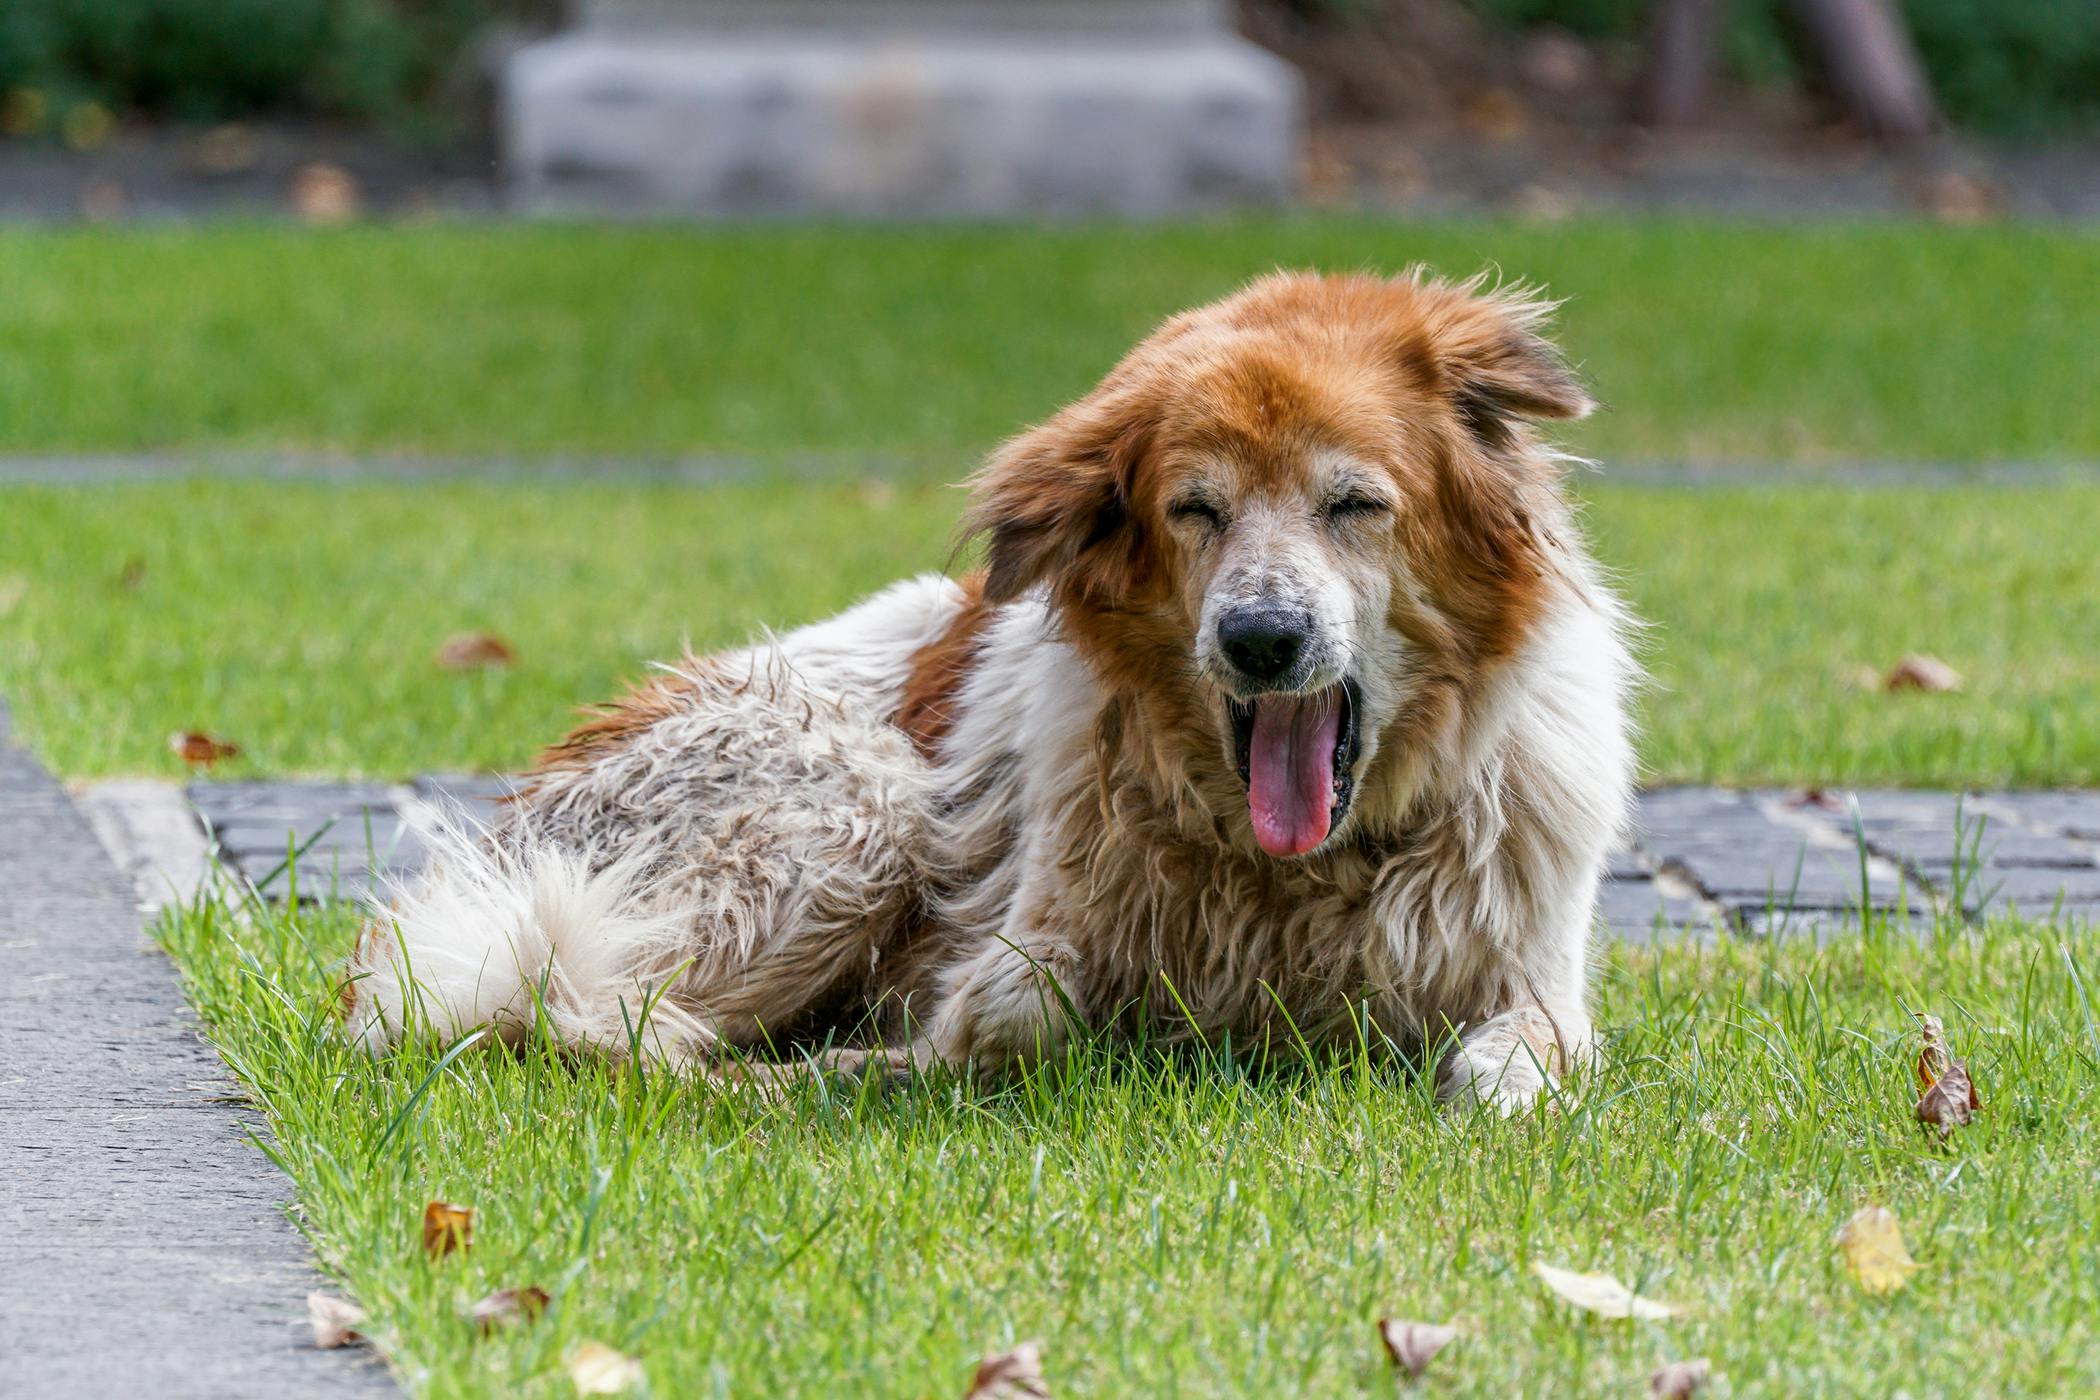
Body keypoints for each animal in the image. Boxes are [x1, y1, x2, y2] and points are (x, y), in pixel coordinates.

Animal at [352, 268, 1637, 1108]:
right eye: (1195, 508)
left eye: (1355, 503)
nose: (1262, 639)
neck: (1297, 883)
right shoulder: (1023, 942)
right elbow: (1022, 1012)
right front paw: (890, 1061)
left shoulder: (1538, 976)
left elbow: (1528, 1059)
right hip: (858, 800)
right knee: (575, 1012)